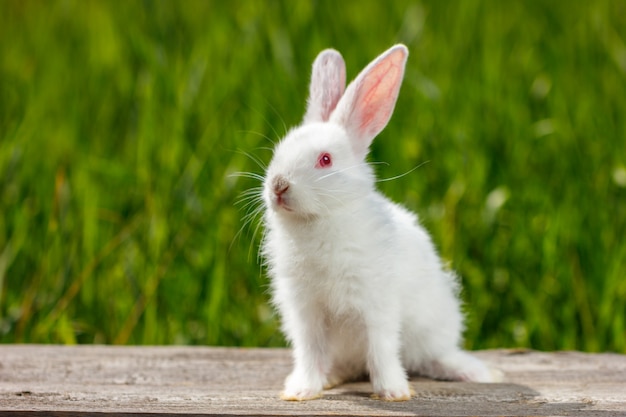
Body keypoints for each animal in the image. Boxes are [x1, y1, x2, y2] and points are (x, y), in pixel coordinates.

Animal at [260, 44, 494, 402]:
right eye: (278, 151)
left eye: (325, 160)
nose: (278, 186)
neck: (321, 221)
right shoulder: (305, 312)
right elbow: (310, 351)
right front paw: (302, 390)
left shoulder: (376, 304)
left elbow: (381, 348)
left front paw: (393, 392)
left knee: (430, 356)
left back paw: (472, 372)